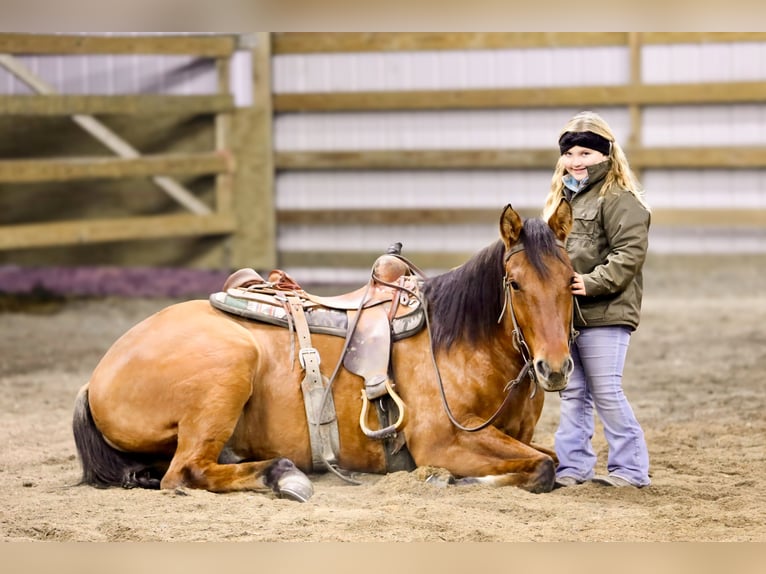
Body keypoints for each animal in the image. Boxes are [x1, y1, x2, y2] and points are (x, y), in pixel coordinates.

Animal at [72, 201, 576, 501]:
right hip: (229, 368)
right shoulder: (443, 440)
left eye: (571, 279)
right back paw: (283, 474)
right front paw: (446, 476)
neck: (457, 343)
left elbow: (550, 459)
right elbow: (541, 468)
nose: (553, 368)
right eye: (515, 284)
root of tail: (95, 379)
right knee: (185, 473)